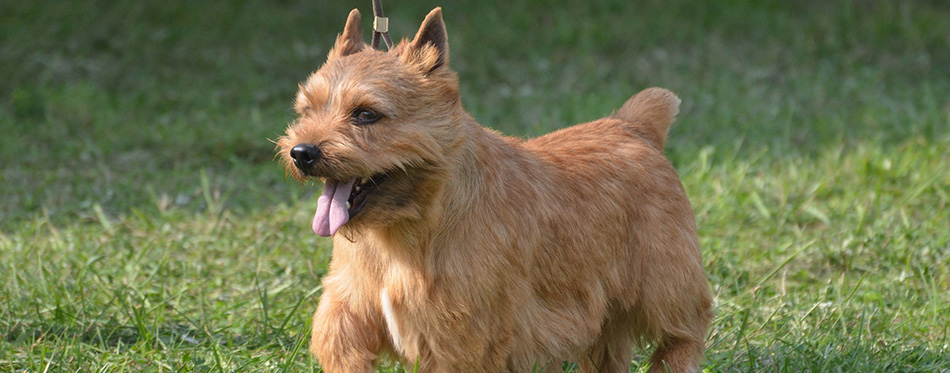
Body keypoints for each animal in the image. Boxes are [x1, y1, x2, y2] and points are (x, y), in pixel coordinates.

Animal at [278, 7, 712, 370]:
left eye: (366, 114)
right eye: (307, 110)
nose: (302, 152)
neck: (402, 234)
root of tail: (633, 126)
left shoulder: (459, 336)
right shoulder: (348, 310)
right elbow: (343, 346)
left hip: (664, 285)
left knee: (685, 331)